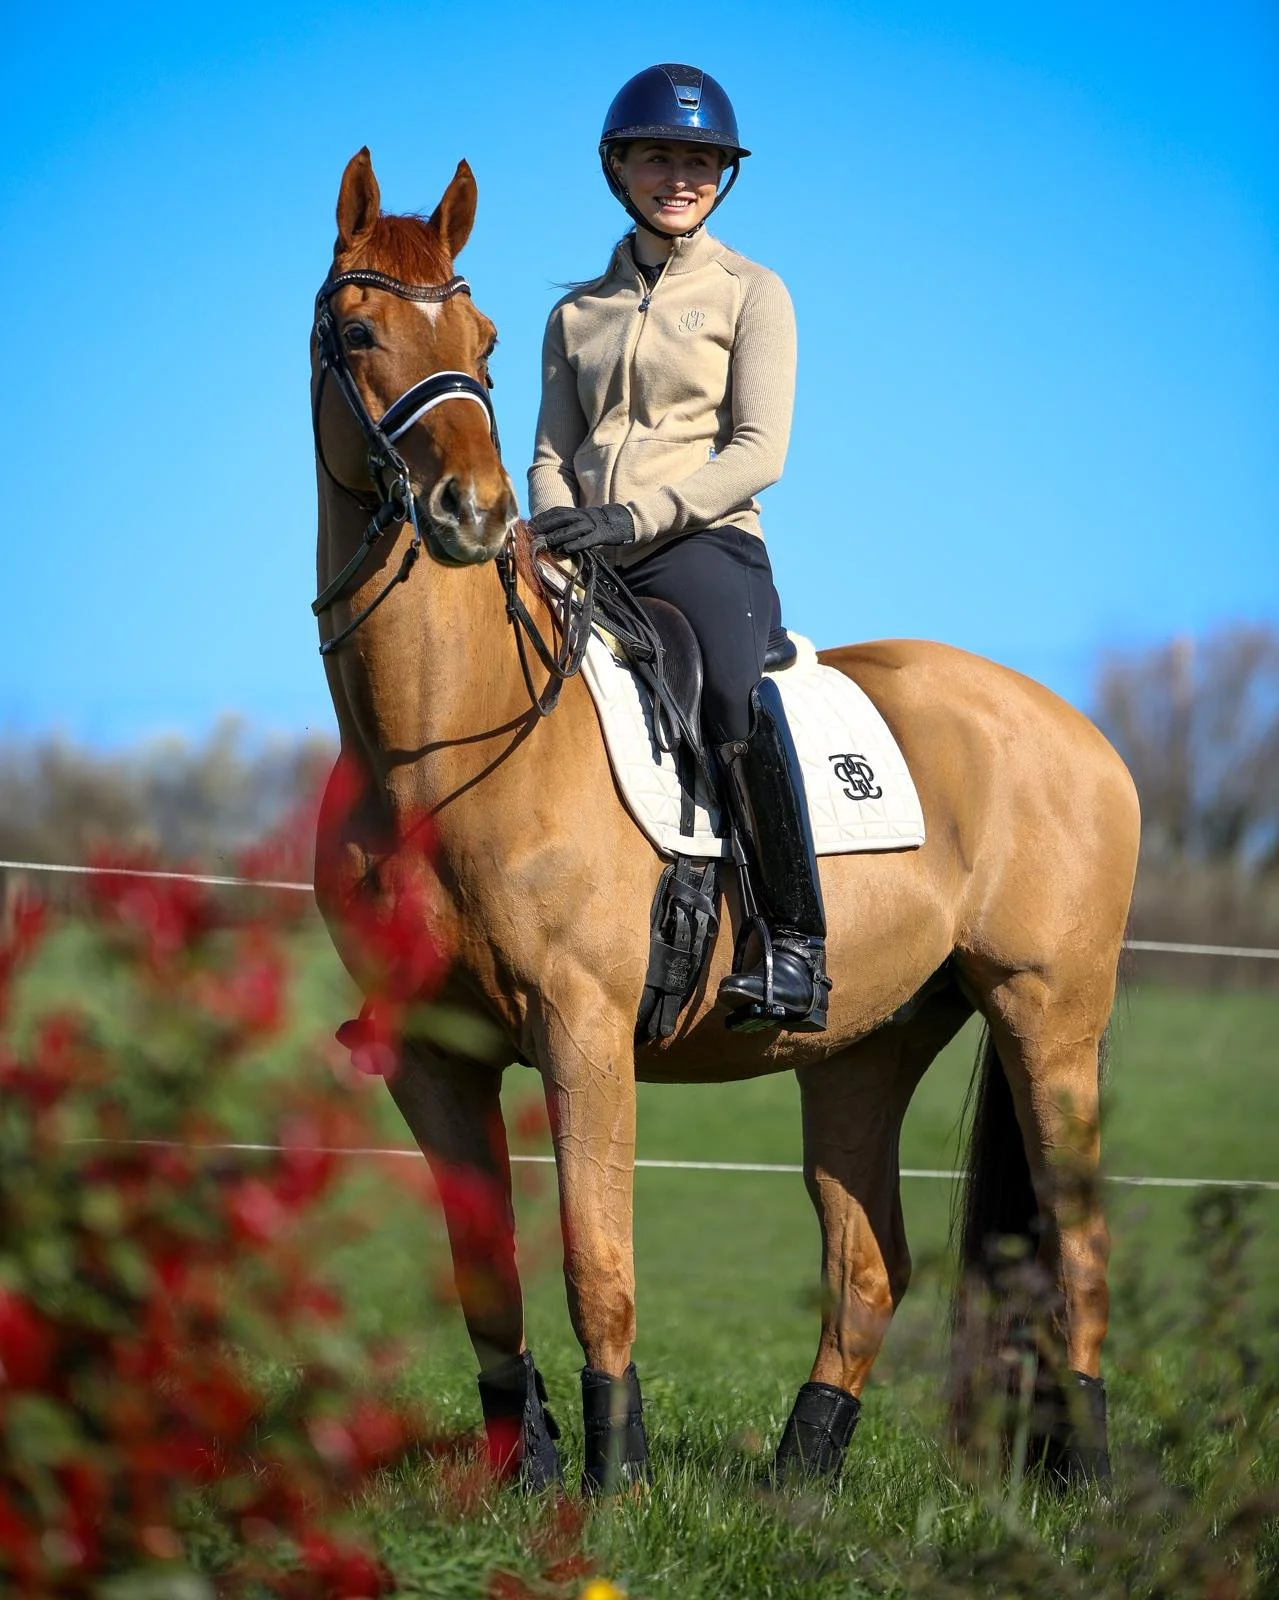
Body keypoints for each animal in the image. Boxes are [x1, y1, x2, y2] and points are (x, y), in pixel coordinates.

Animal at [311, 147, 1141, 1493]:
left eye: (482, 340)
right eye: (356, 329)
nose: (472, 510)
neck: (439, 746)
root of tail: (1076, 732)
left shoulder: (583, 1036)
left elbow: (595, 1263)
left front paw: (613, 1482)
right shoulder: (436, 1056)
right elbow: (487, 1282)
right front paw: (526, 1470)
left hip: (1046, 1018)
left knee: (1078, 1253)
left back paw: (1089, 1478)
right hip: (863, 1045)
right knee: (869, 1264)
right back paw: (801, 1481)